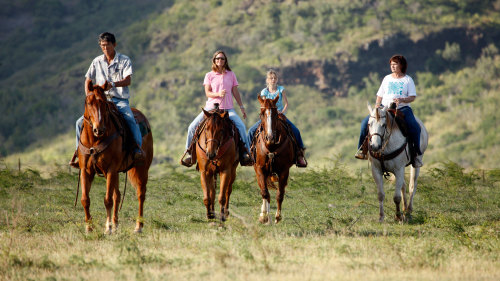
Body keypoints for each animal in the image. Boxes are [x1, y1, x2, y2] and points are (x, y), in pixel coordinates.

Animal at [76, 80, 152, 232]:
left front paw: (108, 228)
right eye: (88, 103)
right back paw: (116, 224)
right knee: (117, 195)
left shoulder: (110, 169)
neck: (94, 140)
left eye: (104, 104)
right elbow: (85, 199)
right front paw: (89, 228)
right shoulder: (86, 170)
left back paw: (138, 226)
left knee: (140, 195)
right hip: (116, 172)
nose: (99, 129)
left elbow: (108, 200)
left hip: (142, 168)